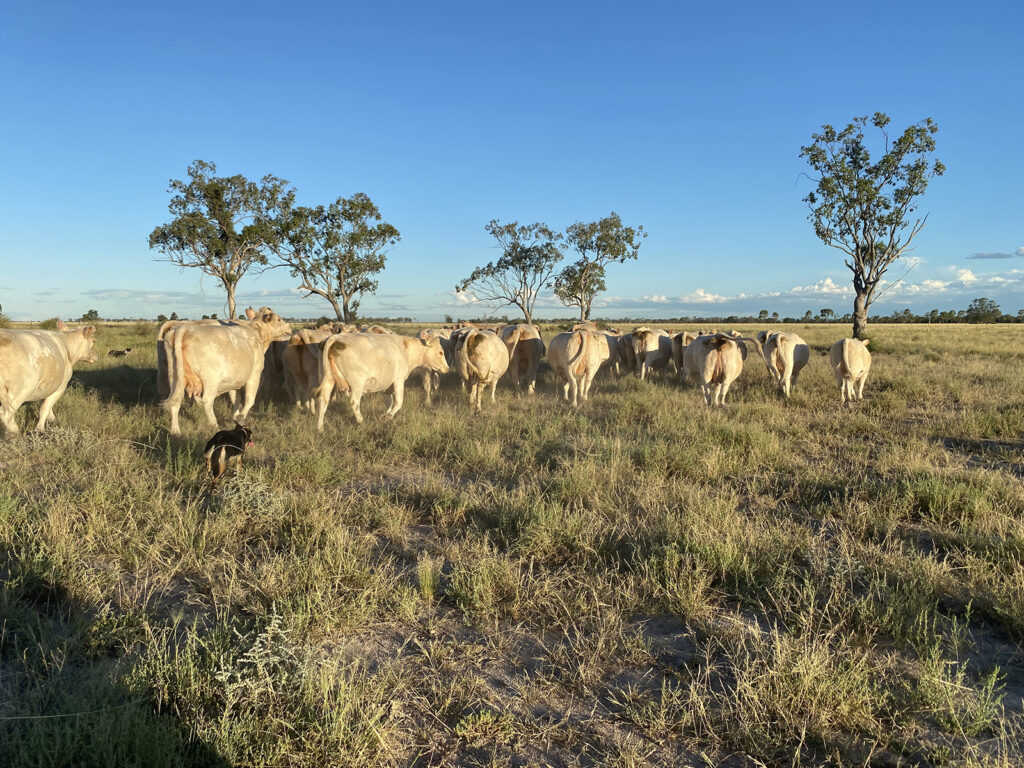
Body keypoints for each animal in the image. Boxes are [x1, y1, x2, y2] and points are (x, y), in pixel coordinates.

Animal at [314, 332, 449, 430]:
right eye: (440, 352)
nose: (447, 368)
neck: (405, 349)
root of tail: (335, 338)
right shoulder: (399, 380)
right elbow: (398, 402)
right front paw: (386, 417)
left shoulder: (388, 387)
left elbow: (389, 402)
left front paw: (388, 418)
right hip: (357, 384)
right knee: (354, 403)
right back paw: (361, 422)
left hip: (328, 379)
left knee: (323, 400)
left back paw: (320, 428)